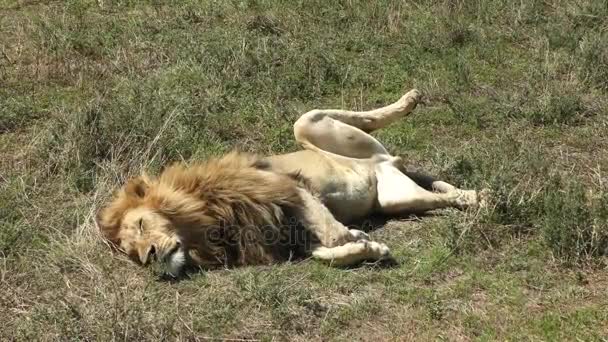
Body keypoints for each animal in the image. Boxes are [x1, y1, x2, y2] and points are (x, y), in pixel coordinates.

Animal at [97, 88, 486, 276]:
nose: (149, 256)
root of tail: (383, 162)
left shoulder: (285, 187)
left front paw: (357, 238)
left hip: (309, 125)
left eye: (143, 224)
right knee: (442, 194)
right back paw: (461, 191)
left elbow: (334, 235)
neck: (204, 221)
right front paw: (369, 248)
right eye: (133, 255)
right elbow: (327, 255)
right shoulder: (286, 233)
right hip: (396, 195)